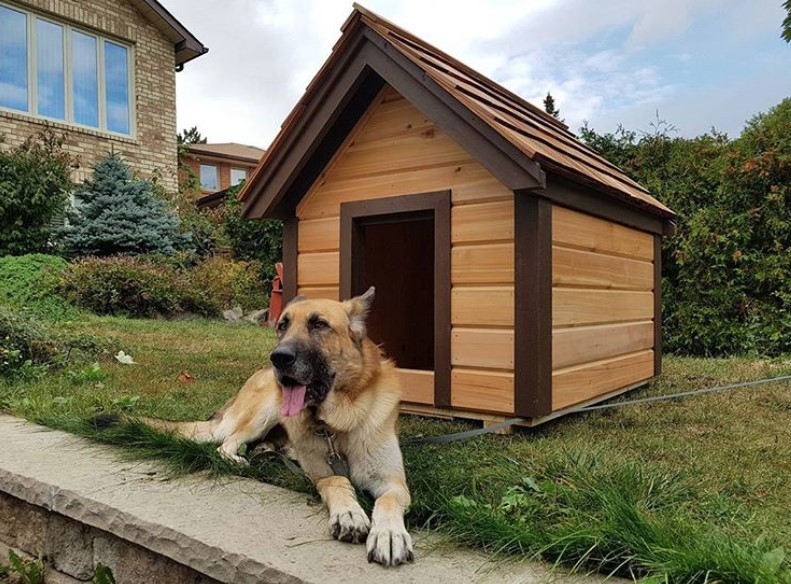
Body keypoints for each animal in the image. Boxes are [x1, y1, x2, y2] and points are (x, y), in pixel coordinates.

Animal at [124, 290, 414, 568]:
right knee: (225, 444)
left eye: (319, 324)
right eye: (282, 326)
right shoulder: (322, 475)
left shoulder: (393, 483)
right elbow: (338, 481)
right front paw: (349, 514)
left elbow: (386, 501)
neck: (337, 424)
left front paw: (389, 535)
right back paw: (241, 459)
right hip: (265, 410)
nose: (279, 358)